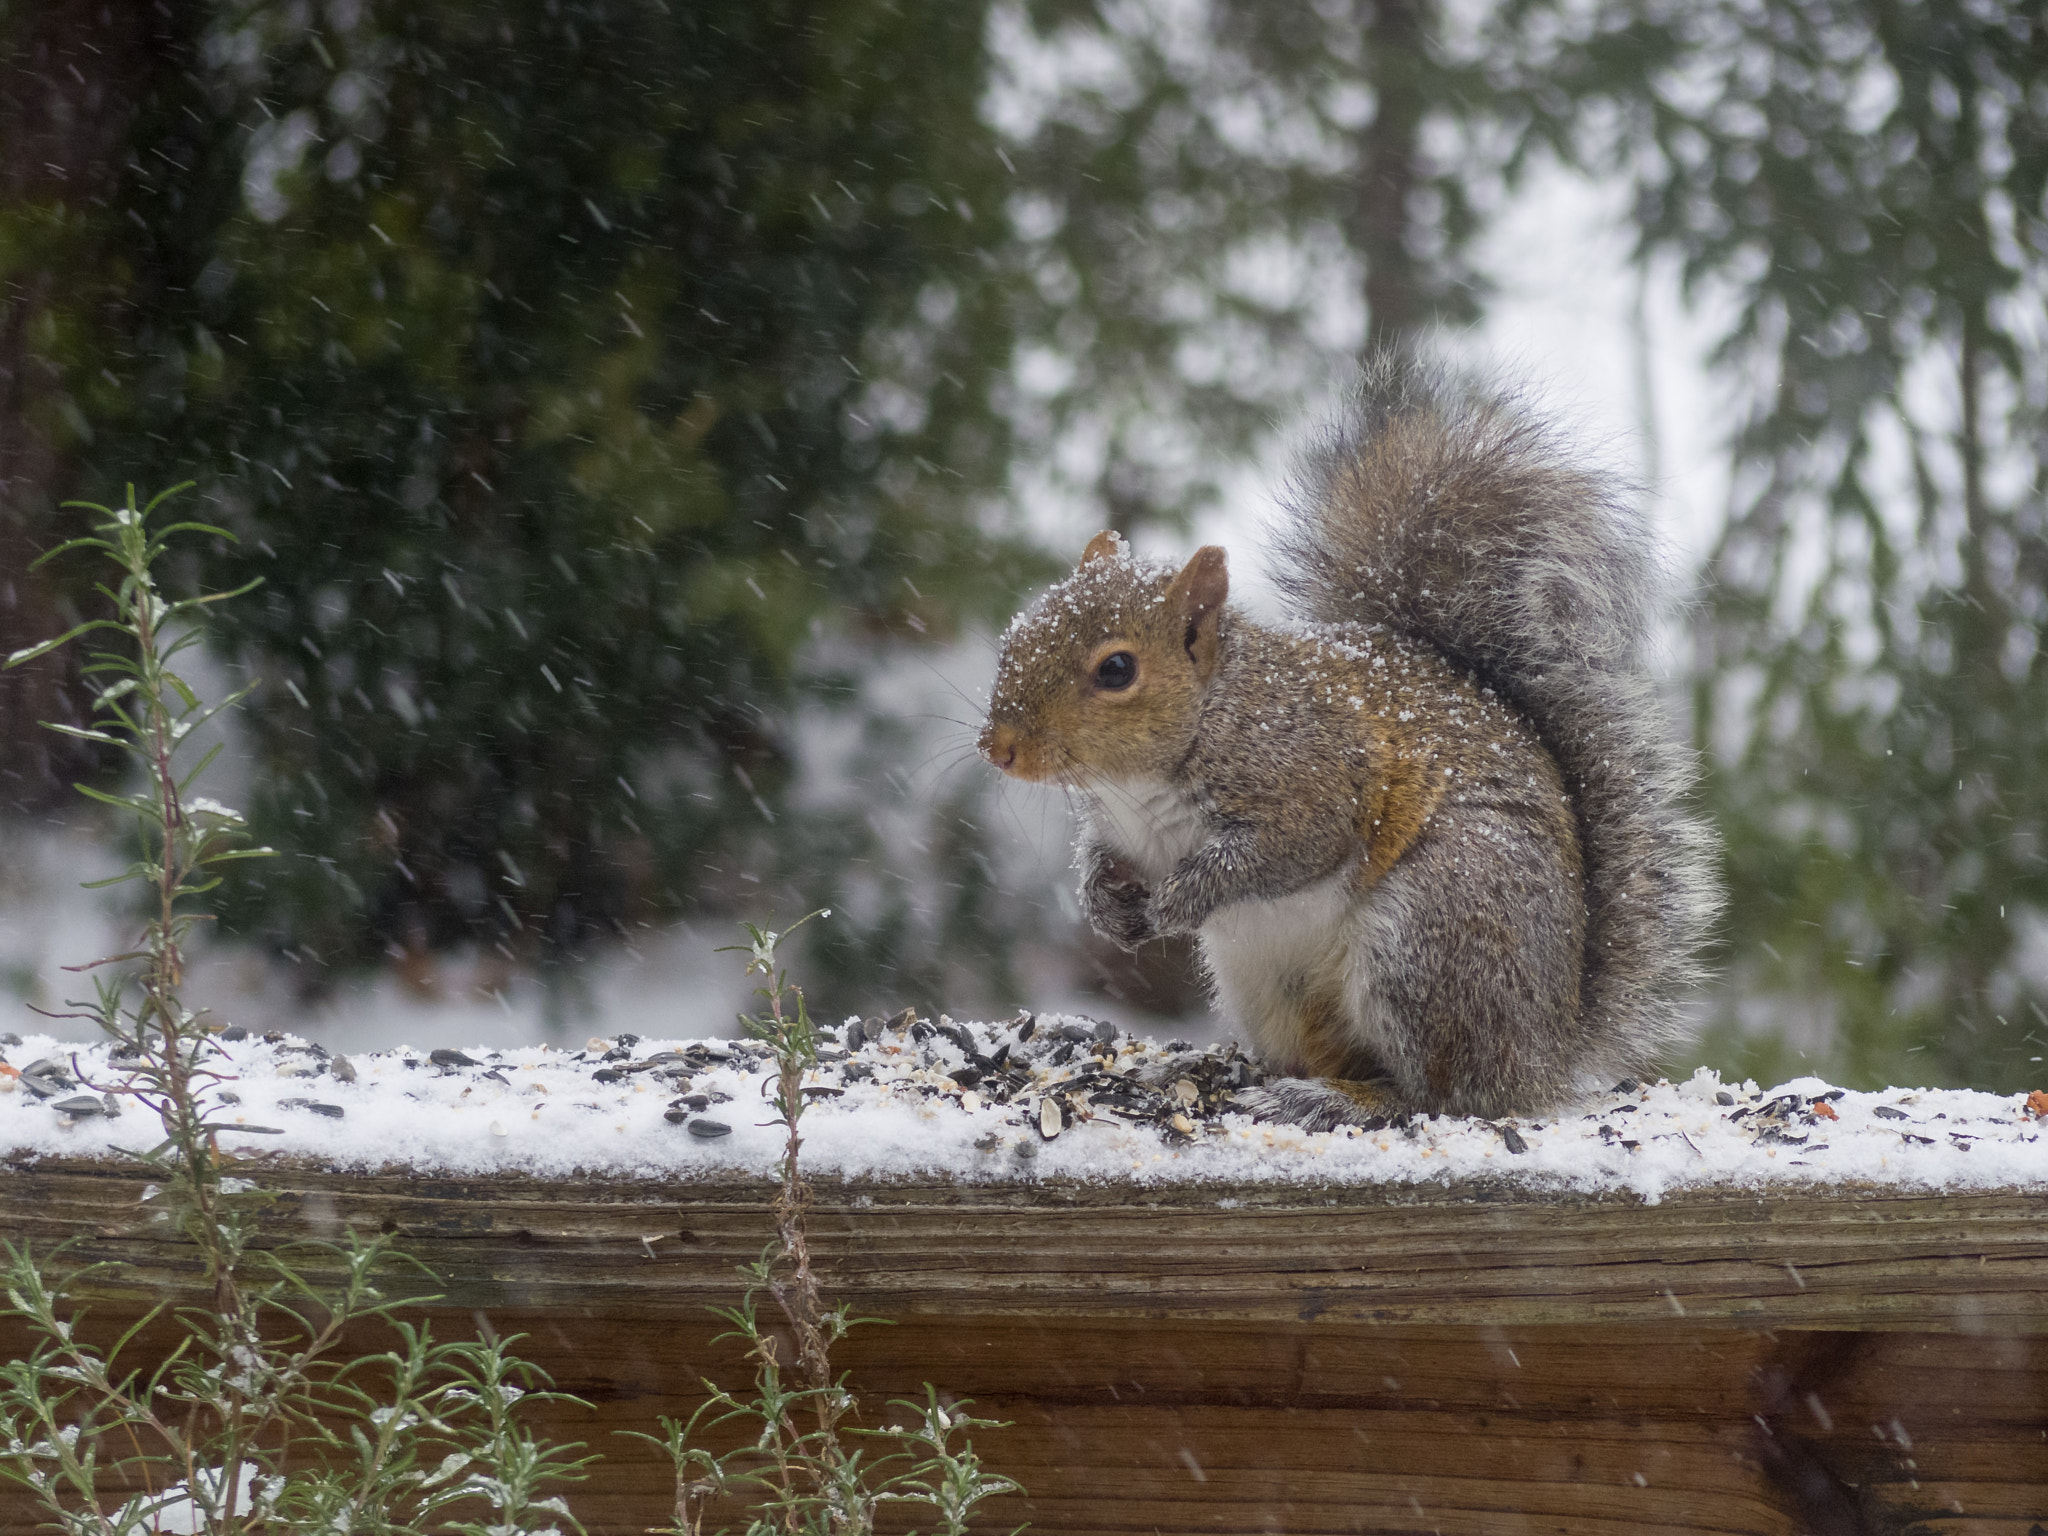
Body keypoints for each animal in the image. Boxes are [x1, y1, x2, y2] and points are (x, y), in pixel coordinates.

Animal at [983, 360, 1720, 1130]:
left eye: (1117, 670)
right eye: (1020, 631)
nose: (997, 748)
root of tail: (1545, 1052)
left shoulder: (1312, 778)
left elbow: (1287, 850)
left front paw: (1179, 903)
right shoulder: (1120, 826)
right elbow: (1102, 859)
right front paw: (1102, 902)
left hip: (1433, 933)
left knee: (1444, 1094)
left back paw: (1338, 1098)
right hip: (1263, 984)